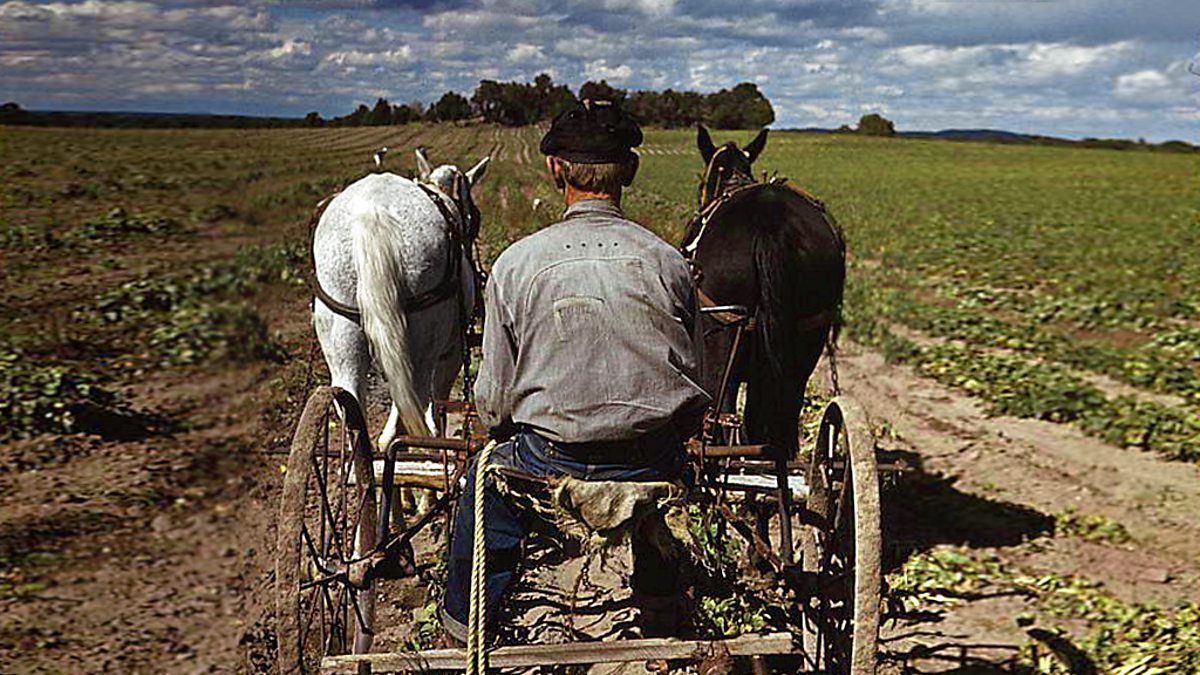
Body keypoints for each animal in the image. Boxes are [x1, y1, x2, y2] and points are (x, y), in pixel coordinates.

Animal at [314, 147, 492, 451]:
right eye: (476, 217)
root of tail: (371, 213)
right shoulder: (453, 351)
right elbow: (438, 403)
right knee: (412, 406)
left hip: (340, 326)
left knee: (350, 403)